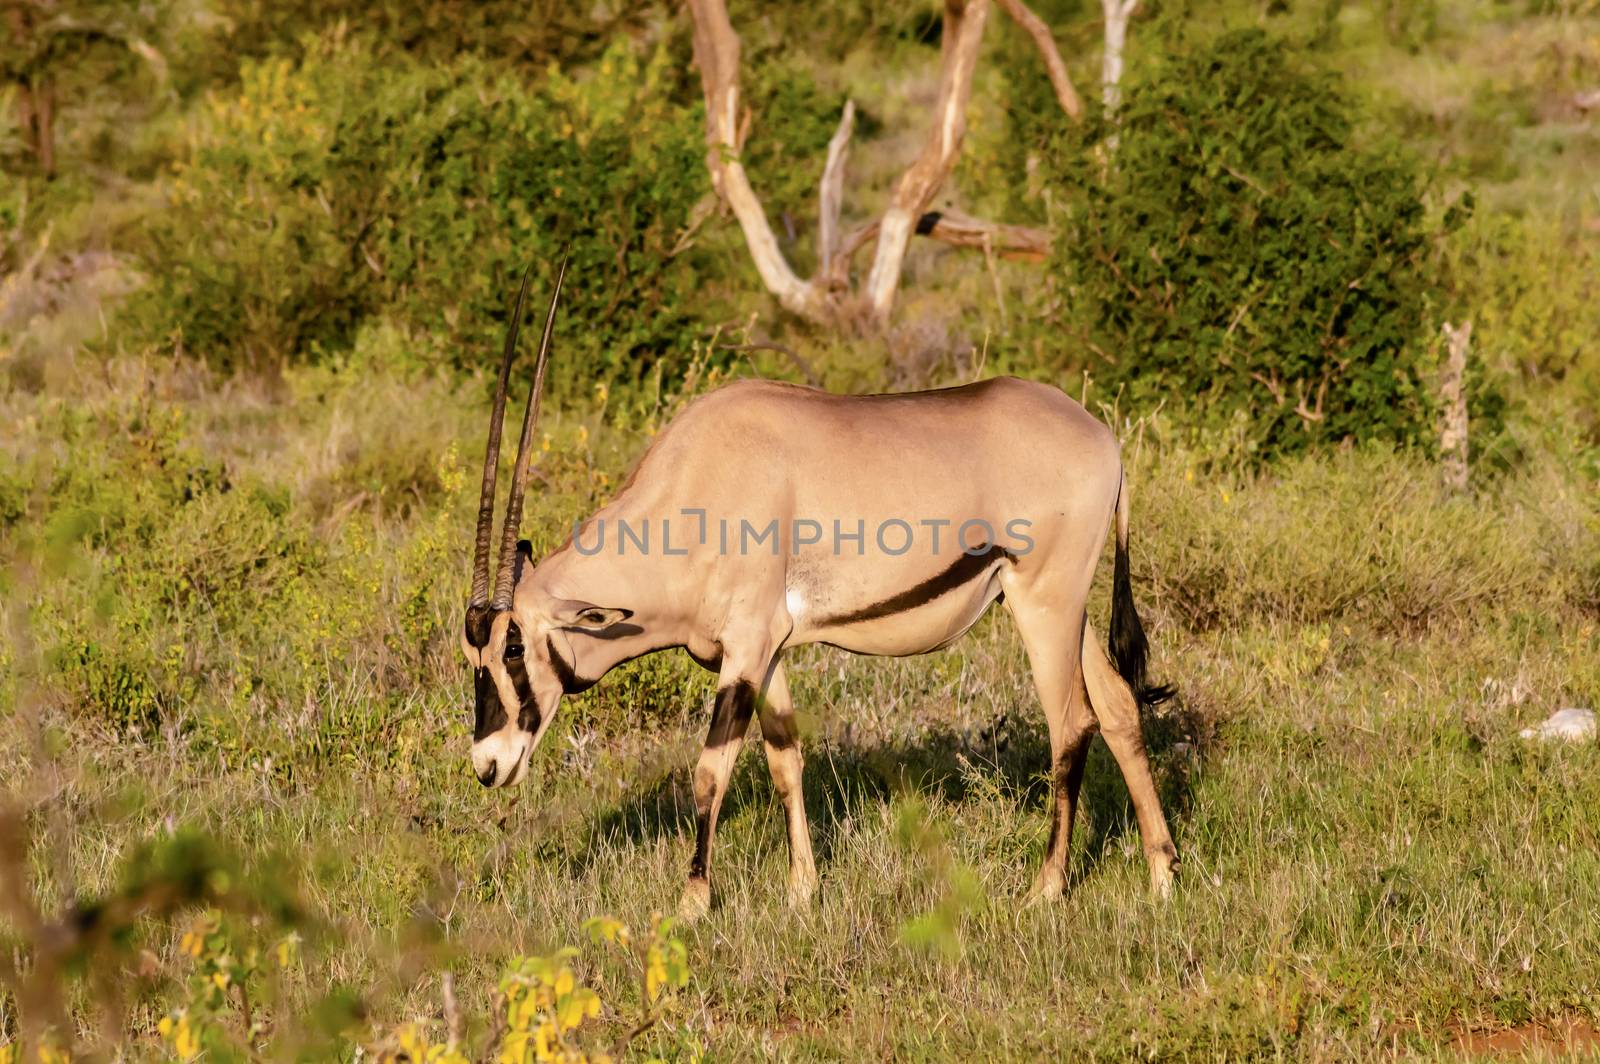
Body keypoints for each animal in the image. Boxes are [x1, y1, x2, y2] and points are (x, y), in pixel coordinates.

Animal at [464, 265, 1177, 915]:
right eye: (473, 656)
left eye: (511, 649)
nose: (488, 766)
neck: (694, 485)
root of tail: (1105, 440)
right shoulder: (766, 653)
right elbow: (785, 760)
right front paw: (802, 891)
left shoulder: (745, 649)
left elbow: (710, 772)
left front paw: (693, 903)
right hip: (1062, 607)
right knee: (1118, 705)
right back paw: (1162, 875)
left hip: (1043, 605)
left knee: (1072, 724)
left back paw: (1047, 889)